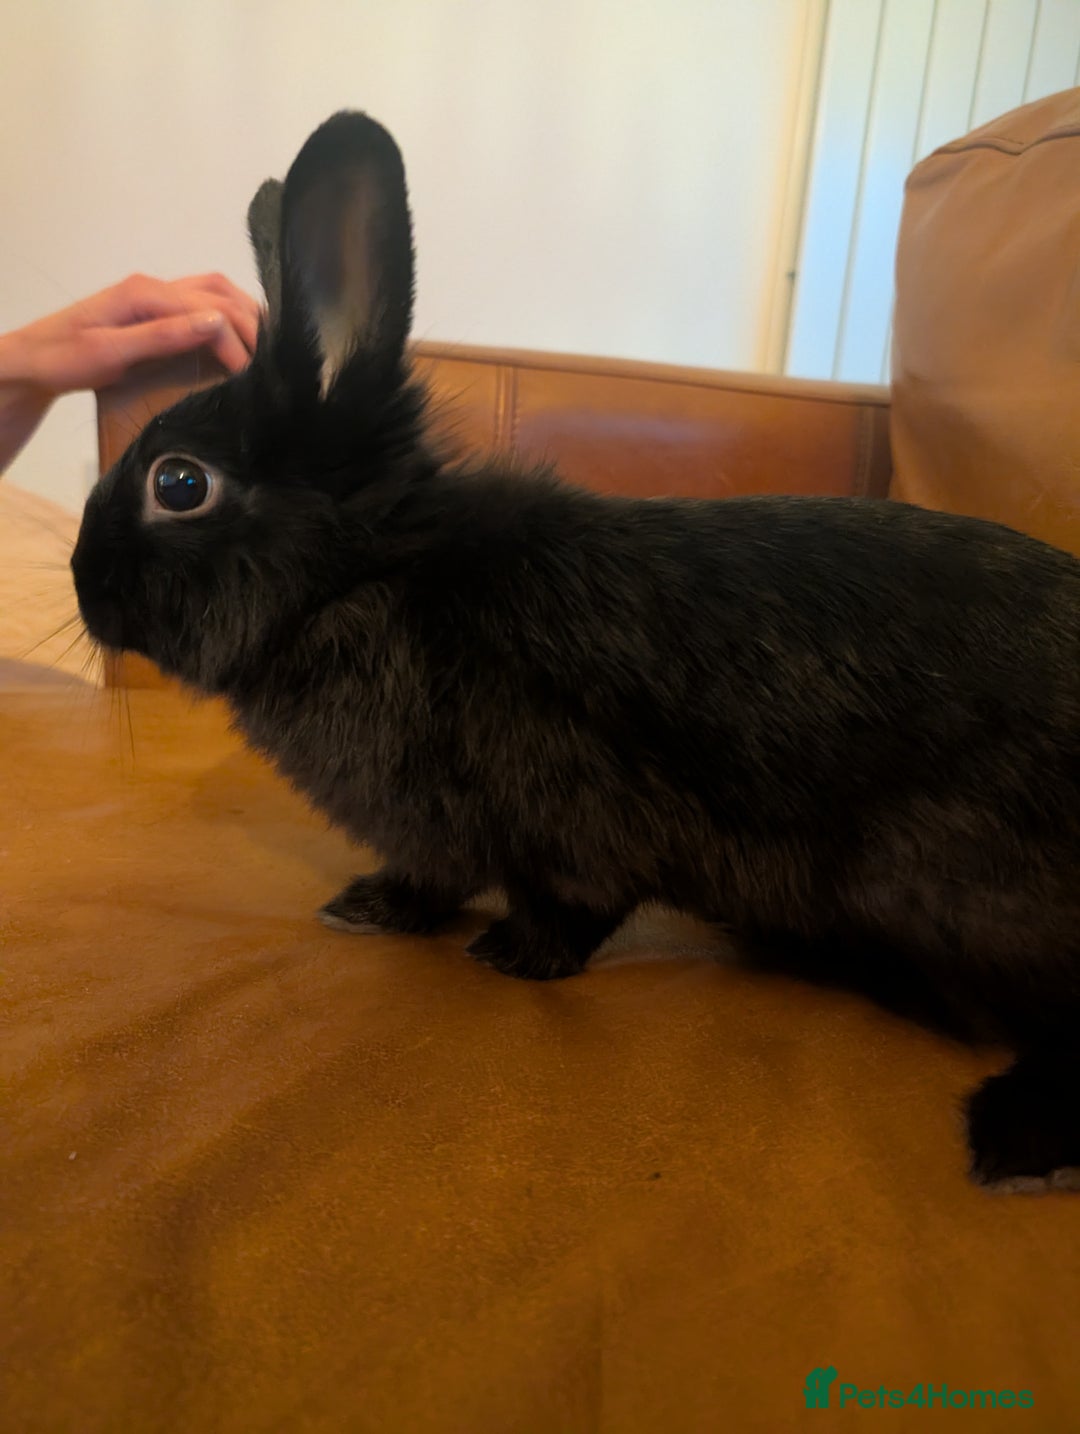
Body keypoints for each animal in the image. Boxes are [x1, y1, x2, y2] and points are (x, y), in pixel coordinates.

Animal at [71, 111, 1080, 1193]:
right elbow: (430, 876)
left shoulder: (573, 814)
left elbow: (573, 904)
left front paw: (512, 955)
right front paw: (371, 906)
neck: (364, 580)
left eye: (179, 484)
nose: (82, 583)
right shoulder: (438, 831)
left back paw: (1015, 1143)